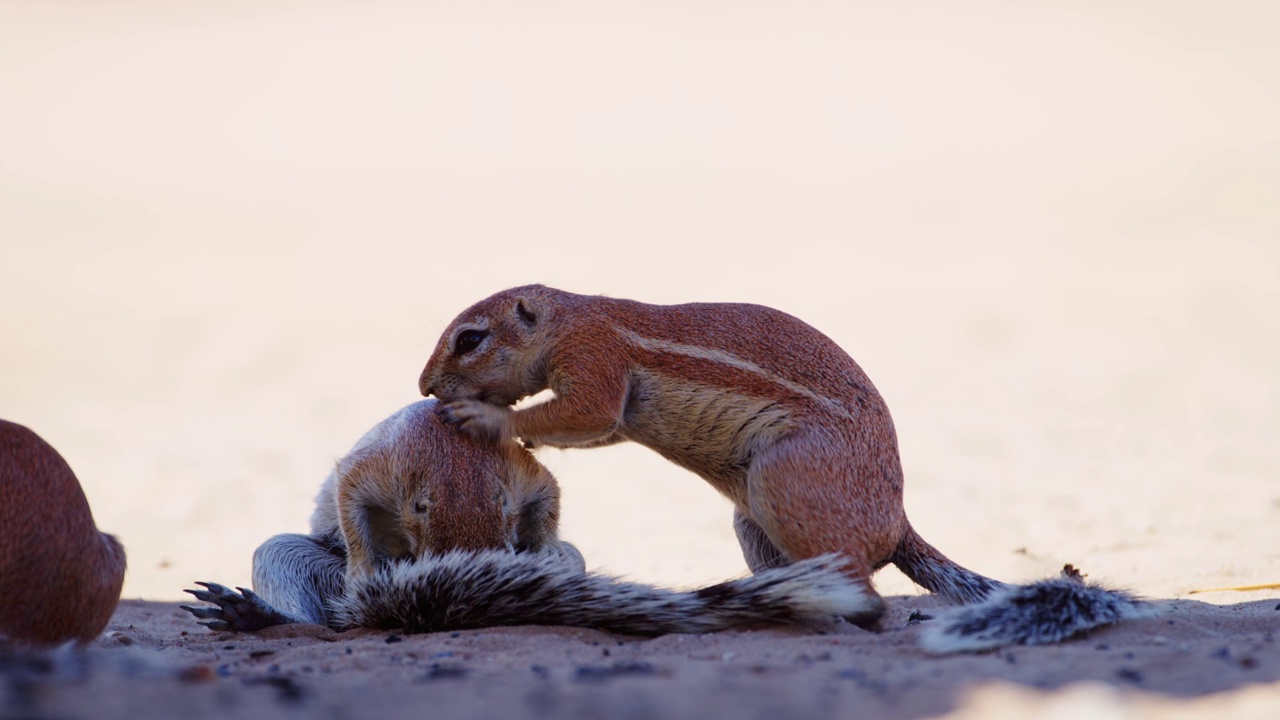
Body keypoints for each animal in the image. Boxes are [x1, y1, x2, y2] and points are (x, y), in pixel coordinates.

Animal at [180, 397, 870, 632]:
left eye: (504, 512)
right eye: (421, 510)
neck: (450, 454)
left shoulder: (526, 471)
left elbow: (551, 496)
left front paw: (533, 554)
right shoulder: (373, 468)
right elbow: (349, 506)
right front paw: (362, 572)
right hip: (291, 558)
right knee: (316, 604)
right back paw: (263, 615)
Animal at [417, 283, 1152, 648]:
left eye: (470, 339)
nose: (424, 386)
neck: (568, 316)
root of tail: (897, 523)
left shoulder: (594, 355)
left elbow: (587, 412)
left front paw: (489, 419)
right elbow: (597, 429)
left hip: (785, 480)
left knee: (869, 594)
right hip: (753, 521)